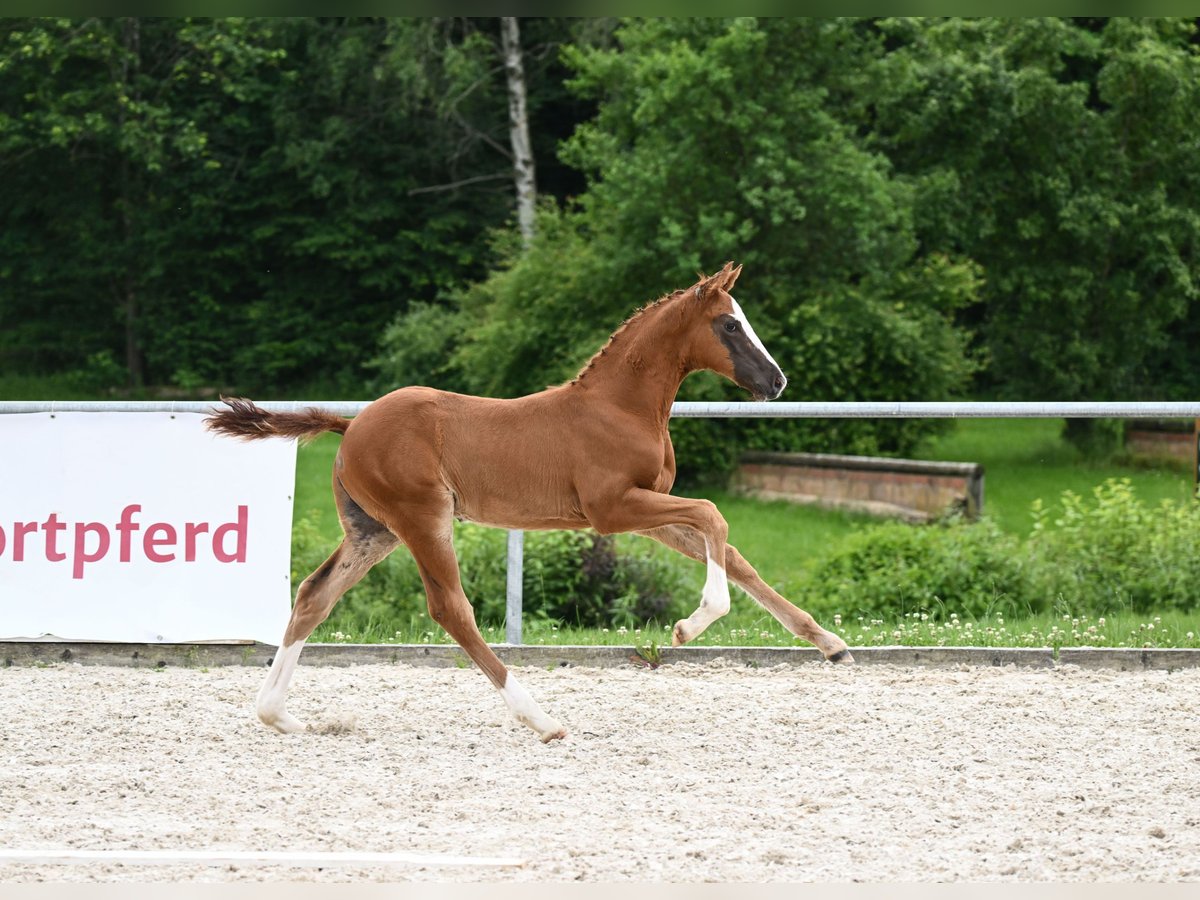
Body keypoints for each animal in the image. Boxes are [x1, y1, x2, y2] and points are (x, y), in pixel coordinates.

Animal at [206, 264, 854, 744]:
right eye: (729, 325)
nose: (776, 382)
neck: (618, 407)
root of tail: (352, 425)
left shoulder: (648, 508)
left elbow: (732, 550)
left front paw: (831, 645)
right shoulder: (613, 510)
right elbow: (713, 513)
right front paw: (688, 626)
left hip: (374, 531)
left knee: (315, 594)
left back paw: (279, 716)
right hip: (423, 520)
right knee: (451, 610)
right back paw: (541, 719)